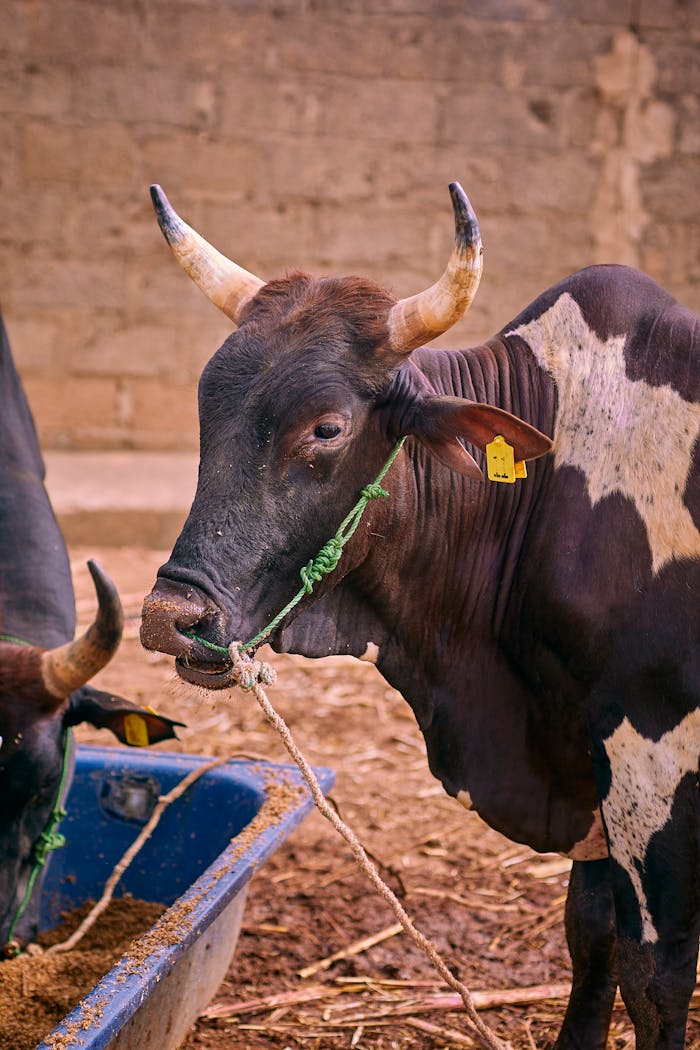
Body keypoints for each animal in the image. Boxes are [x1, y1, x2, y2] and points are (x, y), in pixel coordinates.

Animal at [140, 182, 699, 1049]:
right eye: (206, 416)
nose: (171, 615)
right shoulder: (586, 758)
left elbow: (657, 981)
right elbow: (590, 931)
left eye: (326, 427)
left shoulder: (653, 760)